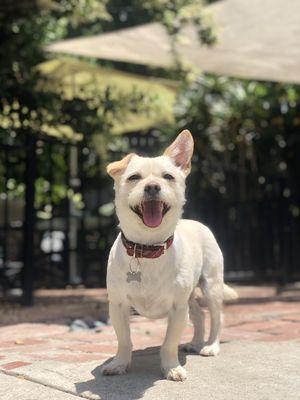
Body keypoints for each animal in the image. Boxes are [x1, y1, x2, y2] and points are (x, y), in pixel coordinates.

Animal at [103, 130, 237, 382]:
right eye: (134, 177)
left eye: (168, 177)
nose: (153, 186)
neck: (147, 248)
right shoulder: (118, 305)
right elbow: (124, 340)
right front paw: (120, 364)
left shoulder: (177, 309)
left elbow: (168, 344)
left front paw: (171, 367)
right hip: (191, 296)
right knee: (198, 314)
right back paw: (195, 343)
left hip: (211, 286)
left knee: (217, 316)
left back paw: (210, 346)